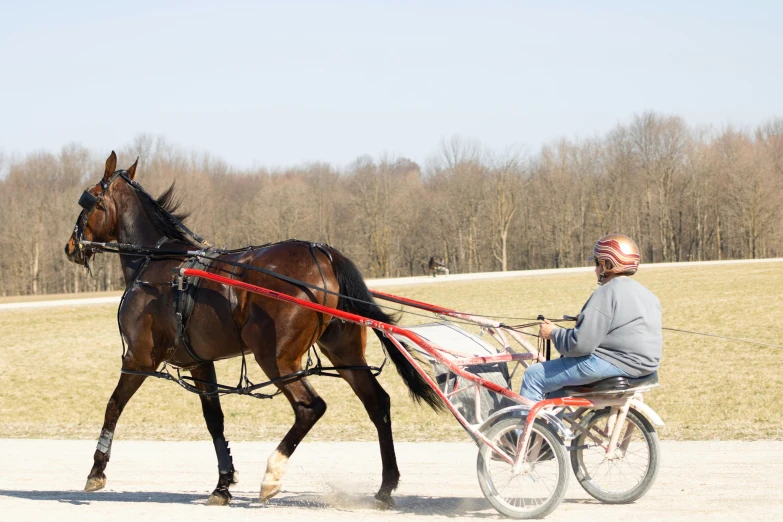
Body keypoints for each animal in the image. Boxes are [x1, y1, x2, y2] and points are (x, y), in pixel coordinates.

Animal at [62, 150, 440, 504]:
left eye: (89, 198)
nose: (70, 245)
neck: (157, 262)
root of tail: (324, 253)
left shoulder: (139, 358)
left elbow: (113, 405)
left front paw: (96, 471)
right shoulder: (200, 363)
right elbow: (214, 420)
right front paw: (222, 484)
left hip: (275, 357)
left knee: (310, 407)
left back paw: (272, 475)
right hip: (342, 351)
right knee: (377, 403)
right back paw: (386, 486)